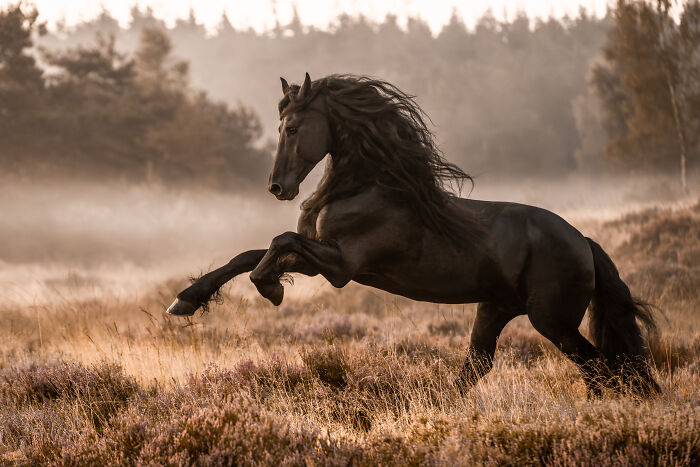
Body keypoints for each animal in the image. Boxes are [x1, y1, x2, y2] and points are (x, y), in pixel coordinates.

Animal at [167, 75, 660, 396]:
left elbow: (277, 243)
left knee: (600, 368)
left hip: (551, 320)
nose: (277, 188)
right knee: (481, 366)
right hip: (495, 308)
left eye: (292, 127)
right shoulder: (320, 259)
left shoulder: (340, 265)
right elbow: (249, 253)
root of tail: (584, 242)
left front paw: (269, 289)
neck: (364, 187)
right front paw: (185, 300)